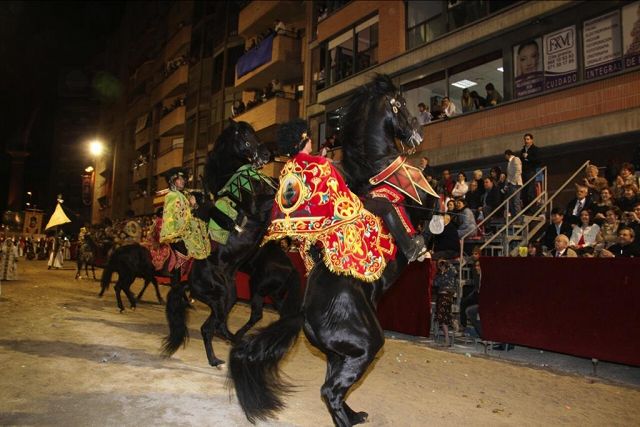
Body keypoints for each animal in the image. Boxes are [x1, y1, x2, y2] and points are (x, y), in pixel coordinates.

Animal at [160, 119, 300, 368]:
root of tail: (190, 282)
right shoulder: (261, 207)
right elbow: (279, 198)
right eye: (244, 137)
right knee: (209, 328)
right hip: (223, 296)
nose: (267, 154)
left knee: (221, 326)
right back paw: (218, 358)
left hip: (231, 295)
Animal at [228, 75, 438, 426]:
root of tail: (303, 313)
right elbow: (409, 204)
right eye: (401, 103)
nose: (418, 133)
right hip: (366, 343)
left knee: (332, 389)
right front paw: (417, 246)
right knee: (330, 391)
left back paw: (355, 415)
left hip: (340, 352)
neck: (376, 172)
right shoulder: (401, 203)